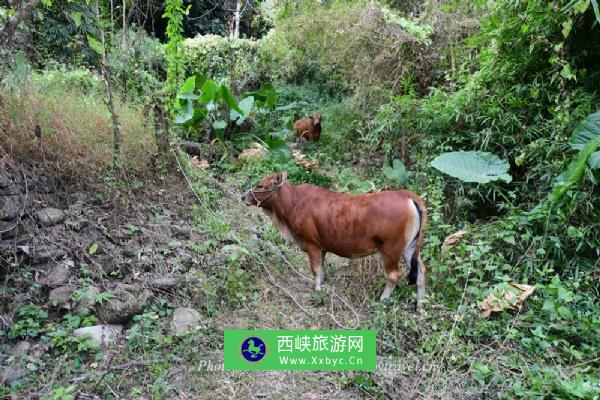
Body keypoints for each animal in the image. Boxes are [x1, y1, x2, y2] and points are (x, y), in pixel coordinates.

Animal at [241, 172, 428, 310]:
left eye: (260, 185)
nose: (244, 196)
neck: (293, 203)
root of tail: (406, 195)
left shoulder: (312, 245)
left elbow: (315, 269)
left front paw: (317, 291)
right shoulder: (322, 247)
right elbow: (321, 268)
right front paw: (322, 284)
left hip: (391, 249)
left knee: (394, 275)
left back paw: (382, 300)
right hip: (410, 248)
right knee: (421, 271)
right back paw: (420, 306)